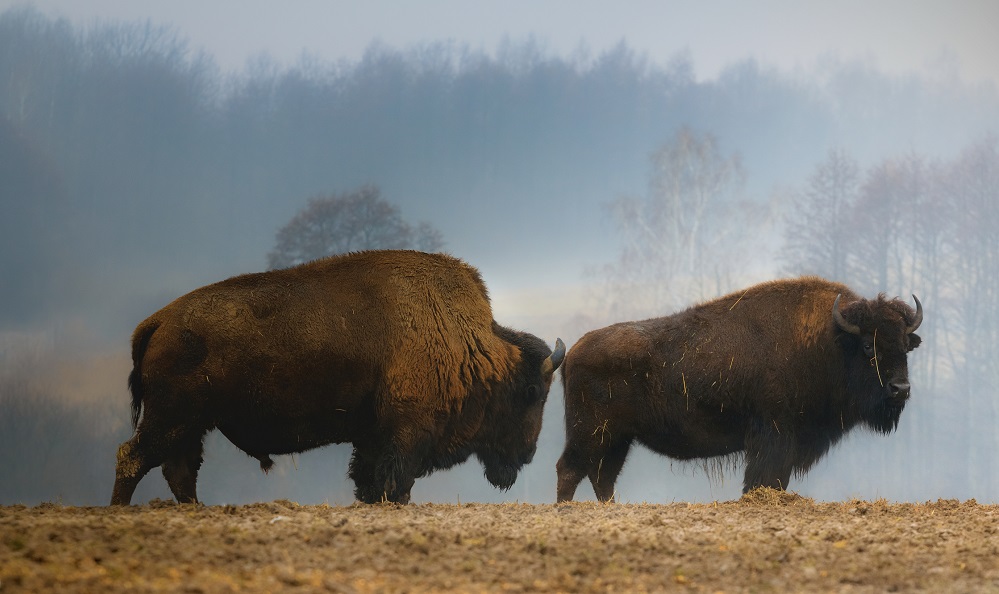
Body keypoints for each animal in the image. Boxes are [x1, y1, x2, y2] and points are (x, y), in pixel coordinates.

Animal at [110, 247, 568, 502]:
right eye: (532, 391)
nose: (526, 455)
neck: (472, 343)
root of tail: (157, 321)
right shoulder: (405, 435)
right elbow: (394, 484)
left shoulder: (373, 439)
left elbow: (370, 481)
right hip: (172, 419)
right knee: (133, 458)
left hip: (190, 425)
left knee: (179, 470)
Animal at [556, 276, 920, 500]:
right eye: (868, 347)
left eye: (905, 346)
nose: (900, 389)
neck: (828, 341)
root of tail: (573, 351)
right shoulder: (774, 435)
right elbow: (765, 478)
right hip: (591, 432)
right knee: (570, 469)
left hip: (617, 439)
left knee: (602, 477)